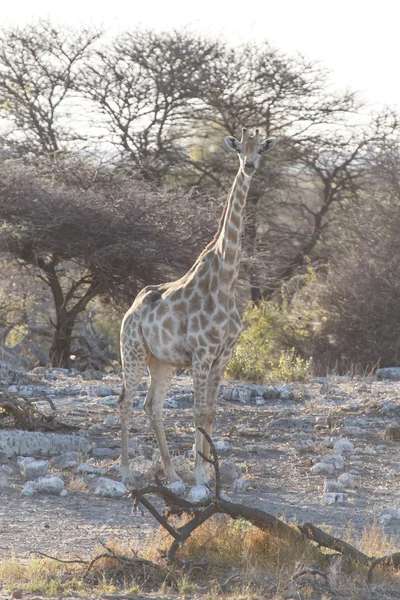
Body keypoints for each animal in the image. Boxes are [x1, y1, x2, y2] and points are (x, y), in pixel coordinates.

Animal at [117, 126, 276, 488]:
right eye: (239, 149)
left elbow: (212, 411)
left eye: (261, 149)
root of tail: (129, 312)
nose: (249, 166)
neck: (226, 280)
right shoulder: (202, 355)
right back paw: (126, 471)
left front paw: (206, 470)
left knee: (152, 406)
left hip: (161, 361)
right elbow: (198, 411)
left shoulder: (223, 356)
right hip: (132, 352)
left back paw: (172, 473)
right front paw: (202, 475)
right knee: (126, 403)